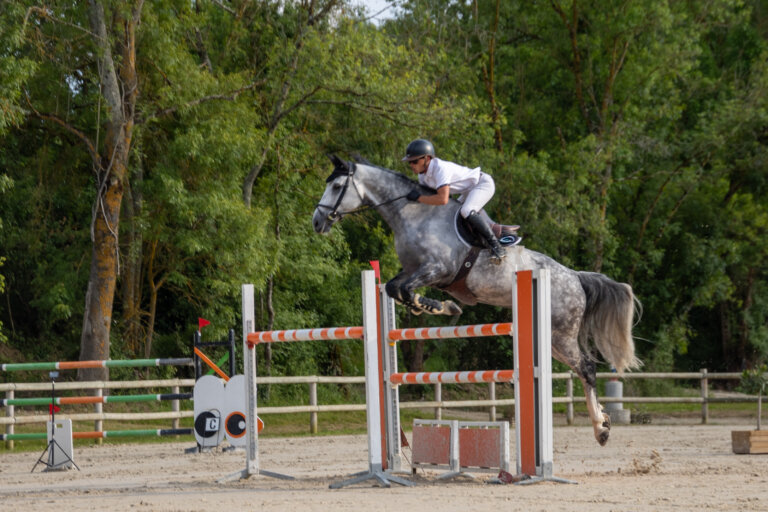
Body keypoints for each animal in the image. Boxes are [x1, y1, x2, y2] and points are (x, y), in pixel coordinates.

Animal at [312, 155, 640, 446]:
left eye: (337, 185)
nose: (317, 222)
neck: (413, 215)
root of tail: (575, 277)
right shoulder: (413, 271)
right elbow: (395, 288)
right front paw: (432, 306)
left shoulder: (438, 270)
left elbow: (405, 288)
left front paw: (436, 306)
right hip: (551, 338)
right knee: (582, 369)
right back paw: (602, 421)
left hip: (561, 334)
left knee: (587, 368)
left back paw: (601, 429)